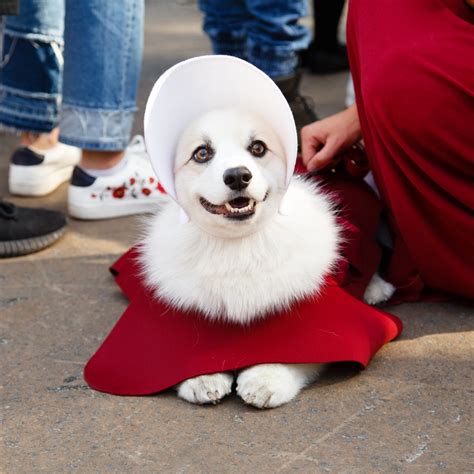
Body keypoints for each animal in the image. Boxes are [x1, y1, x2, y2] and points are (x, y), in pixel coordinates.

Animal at [140, 107, 392, 408]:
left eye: (258, 148)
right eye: (201, 153)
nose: (238, 176)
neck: (237, 247)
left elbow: (295, 351)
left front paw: (264, 381)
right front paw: (203, 378)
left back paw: (377, 289)